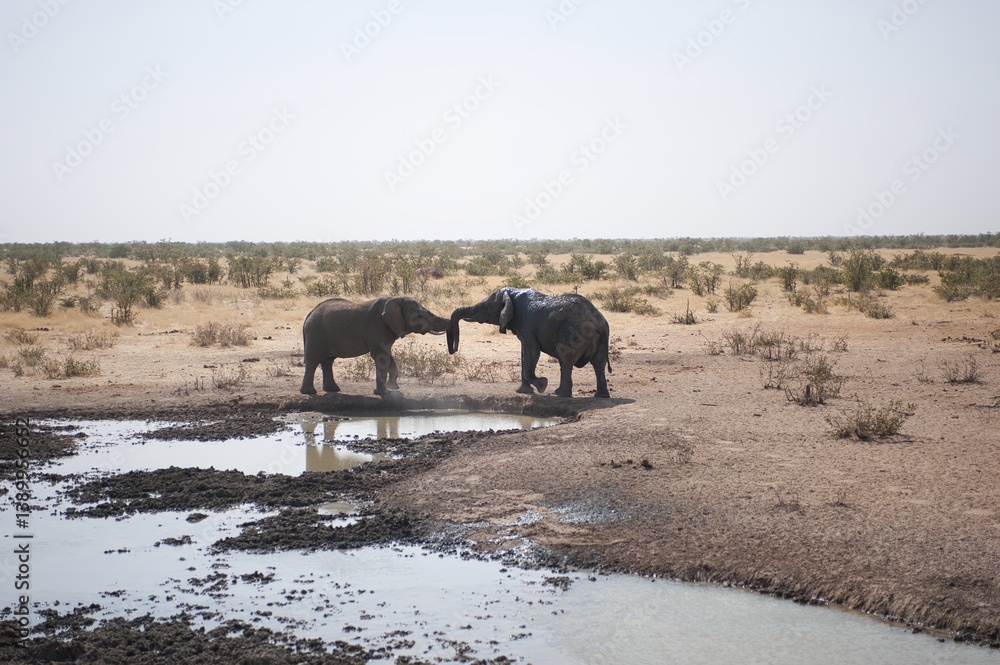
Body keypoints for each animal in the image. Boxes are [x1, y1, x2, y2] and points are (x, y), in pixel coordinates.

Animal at [300, 297, 450, 396]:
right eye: (419, 316)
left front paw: (393, 388)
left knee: (328, 361)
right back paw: (309, 392)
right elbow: (380, 356)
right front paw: (384, 393)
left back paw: (333, 390)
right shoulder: (377, 327)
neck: (395, 299)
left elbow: (387, 355)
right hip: (316, 333)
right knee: (313, 361)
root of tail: (309, 314)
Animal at [448, 287, 611, 398]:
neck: (513, 293)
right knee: (598, 363)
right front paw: (523, 391)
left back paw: (560, 393)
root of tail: (601, 323)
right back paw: (600, 396)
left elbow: (532, 351)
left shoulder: (525, 322)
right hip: (598, 339)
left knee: (565, 359)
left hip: (576, 332)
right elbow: (524, 352)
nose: (453, 349)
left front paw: (542, 385)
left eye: (486, 307)